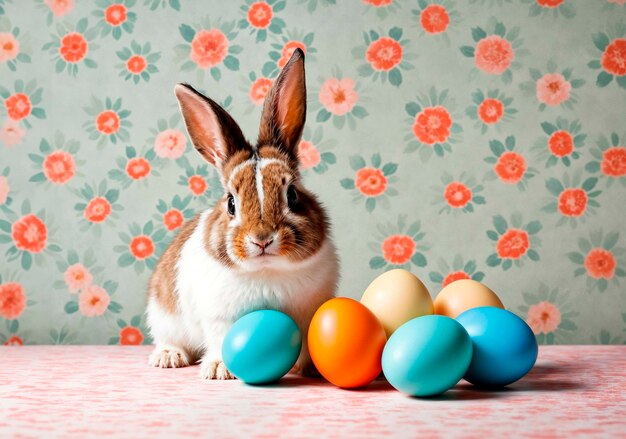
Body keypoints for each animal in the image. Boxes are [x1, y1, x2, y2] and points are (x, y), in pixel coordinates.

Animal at [145, 46, 336, 380]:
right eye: (231, 202)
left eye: (292, 195)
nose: (262, 239)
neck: (267, 270)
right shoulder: (219, 317)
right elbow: (221, 338)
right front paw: (220, 369)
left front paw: (312, 368)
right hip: (163, 316)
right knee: (170, 339)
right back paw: (169, 357)